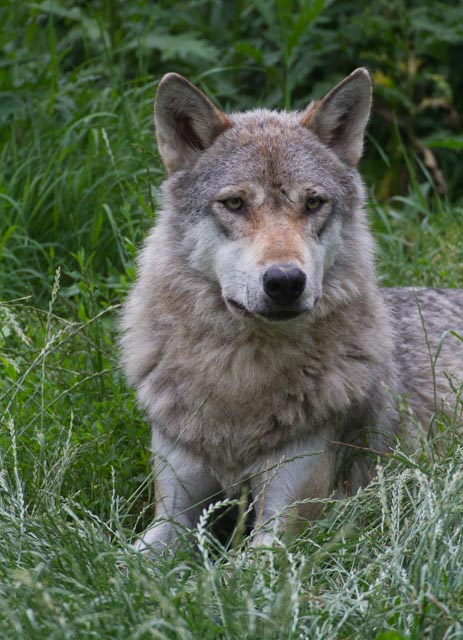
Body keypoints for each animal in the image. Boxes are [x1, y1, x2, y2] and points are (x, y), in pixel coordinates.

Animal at [120, 69, 463, 552]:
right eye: (235, 203)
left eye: (313, 203)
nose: (285, 281)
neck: (241, 376)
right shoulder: (173, 516)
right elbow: (118, 561)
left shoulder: (283, 525)